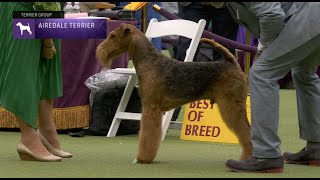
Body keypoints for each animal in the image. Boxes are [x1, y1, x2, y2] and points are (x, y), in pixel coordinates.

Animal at [95, 23, 252, 164]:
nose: (99, 51)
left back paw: (246, 158)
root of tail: (231, 62)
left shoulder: (151, 107)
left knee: (246, 132)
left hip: (231, 105)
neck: (150, 62)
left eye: (112, 36)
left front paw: (143, 158)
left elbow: (148, 136)